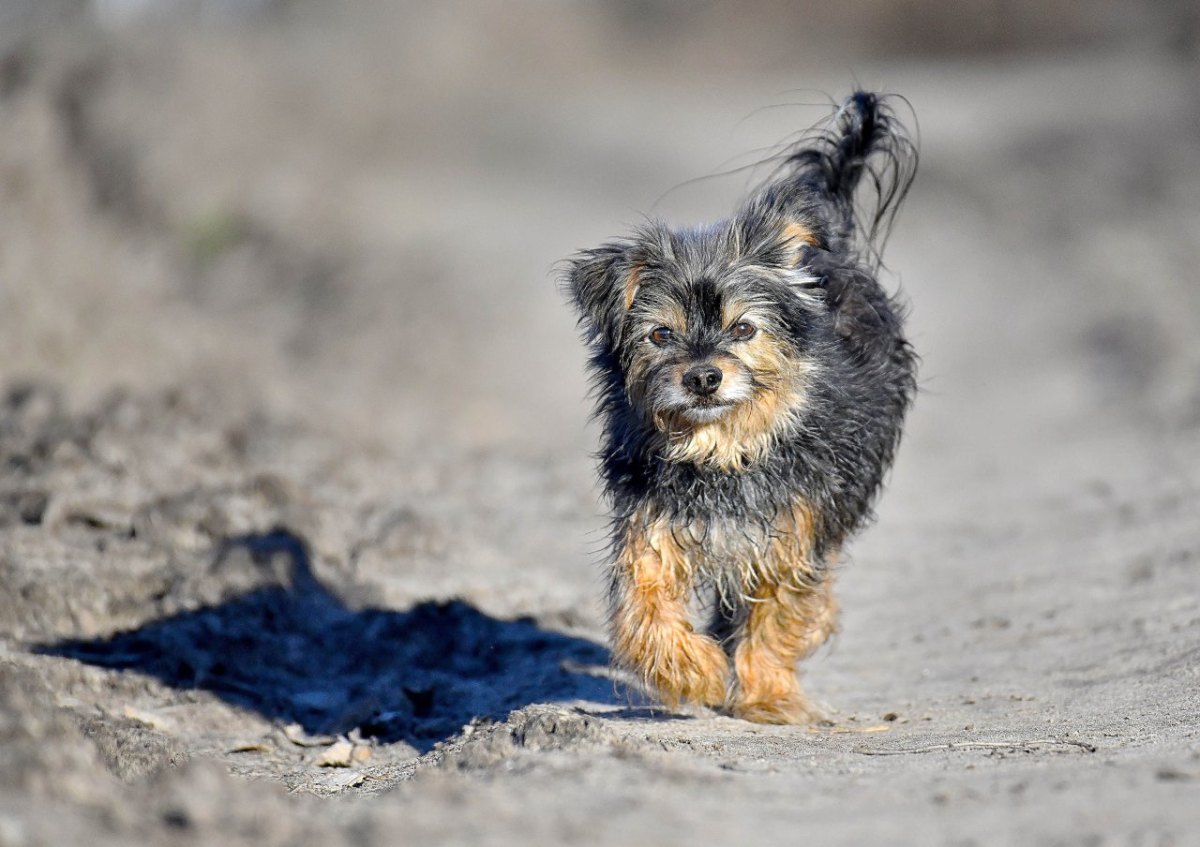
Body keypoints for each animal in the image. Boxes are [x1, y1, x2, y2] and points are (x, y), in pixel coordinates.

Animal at [561, 94, 916, 724]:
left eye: (744, 329)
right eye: (660, 335)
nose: (703, 376)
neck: (722, 450)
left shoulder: (791, 532)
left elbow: (776, 615)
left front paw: (766, 696)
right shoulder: (653, 525)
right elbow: (641, 608)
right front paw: (694, 672)